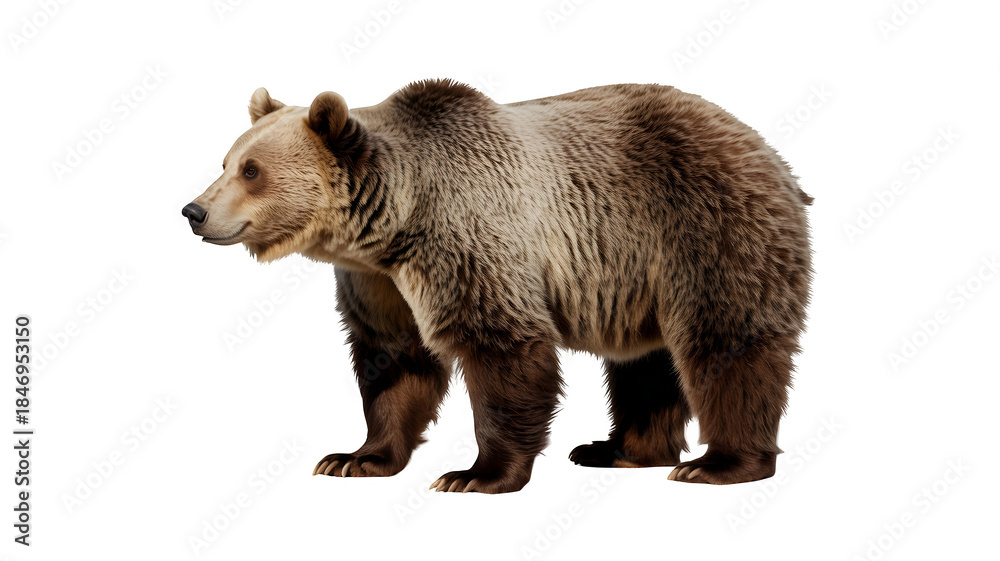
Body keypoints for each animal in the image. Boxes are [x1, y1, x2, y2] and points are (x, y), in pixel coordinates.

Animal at [183, 80, 813, 494]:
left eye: (252, 170)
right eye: (225, 160)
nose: (193, 211)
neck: (393, 226)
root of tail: (768, 149)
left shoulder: (469, 238)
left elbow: (503, 347)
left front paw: (474, 474)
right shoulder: (378, 282)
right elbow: (394, 362)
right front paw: (353, 458)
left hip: (703, 226)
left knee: (726, 340)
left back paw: (719, 463)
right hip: (638, 274)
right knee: (646, 361)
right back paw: (619, 451)